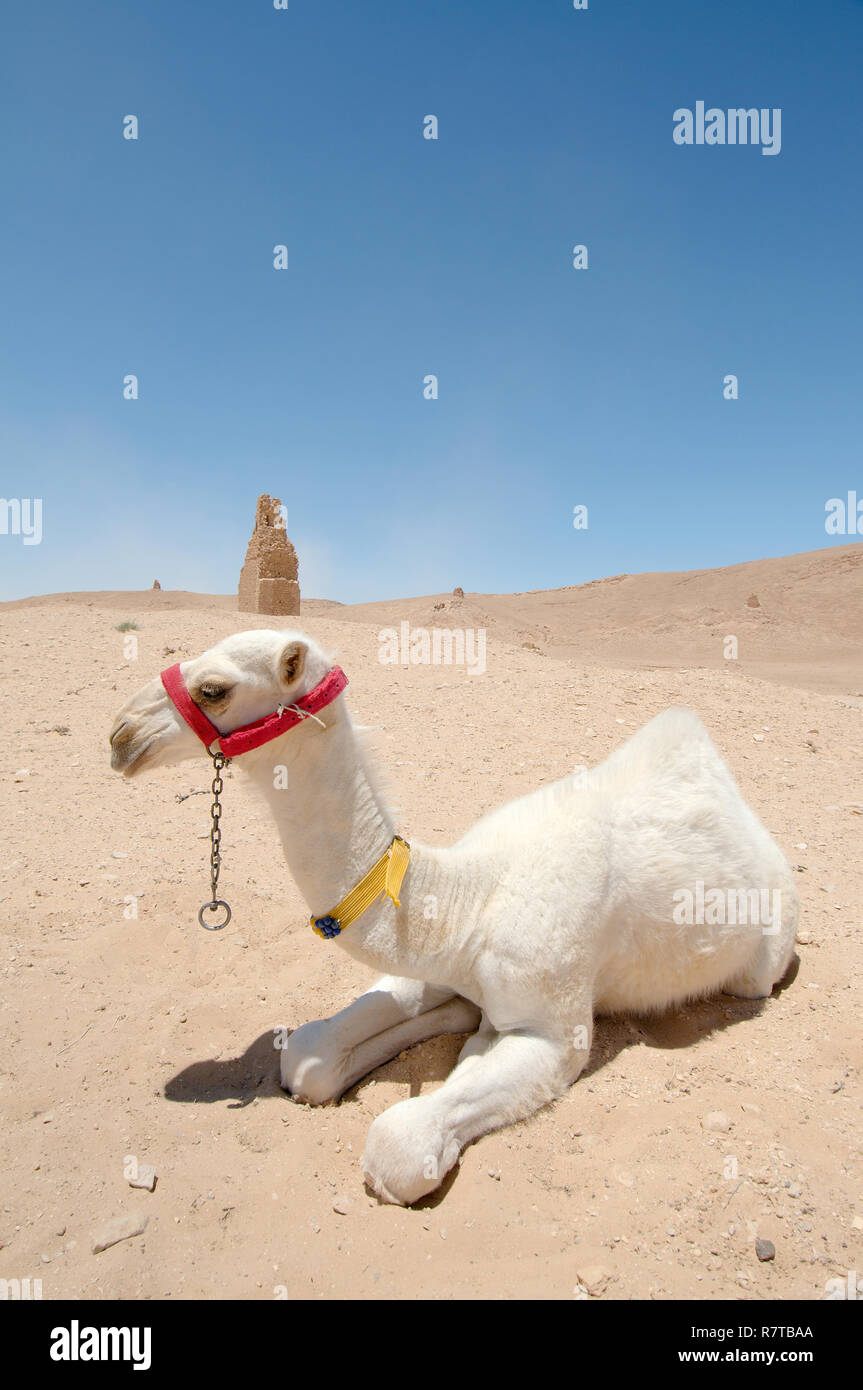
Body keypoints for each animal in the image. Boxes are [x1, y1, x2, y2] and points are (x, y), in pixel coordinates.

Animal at [111, 631, 794, 1206]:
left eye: (214, 688)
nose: (120, 735)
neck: (471, 900)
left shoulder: (556, 1032)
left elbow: (398, 1147)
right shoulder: (440, 962)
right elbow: (308, 1056)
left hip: (763, 960)